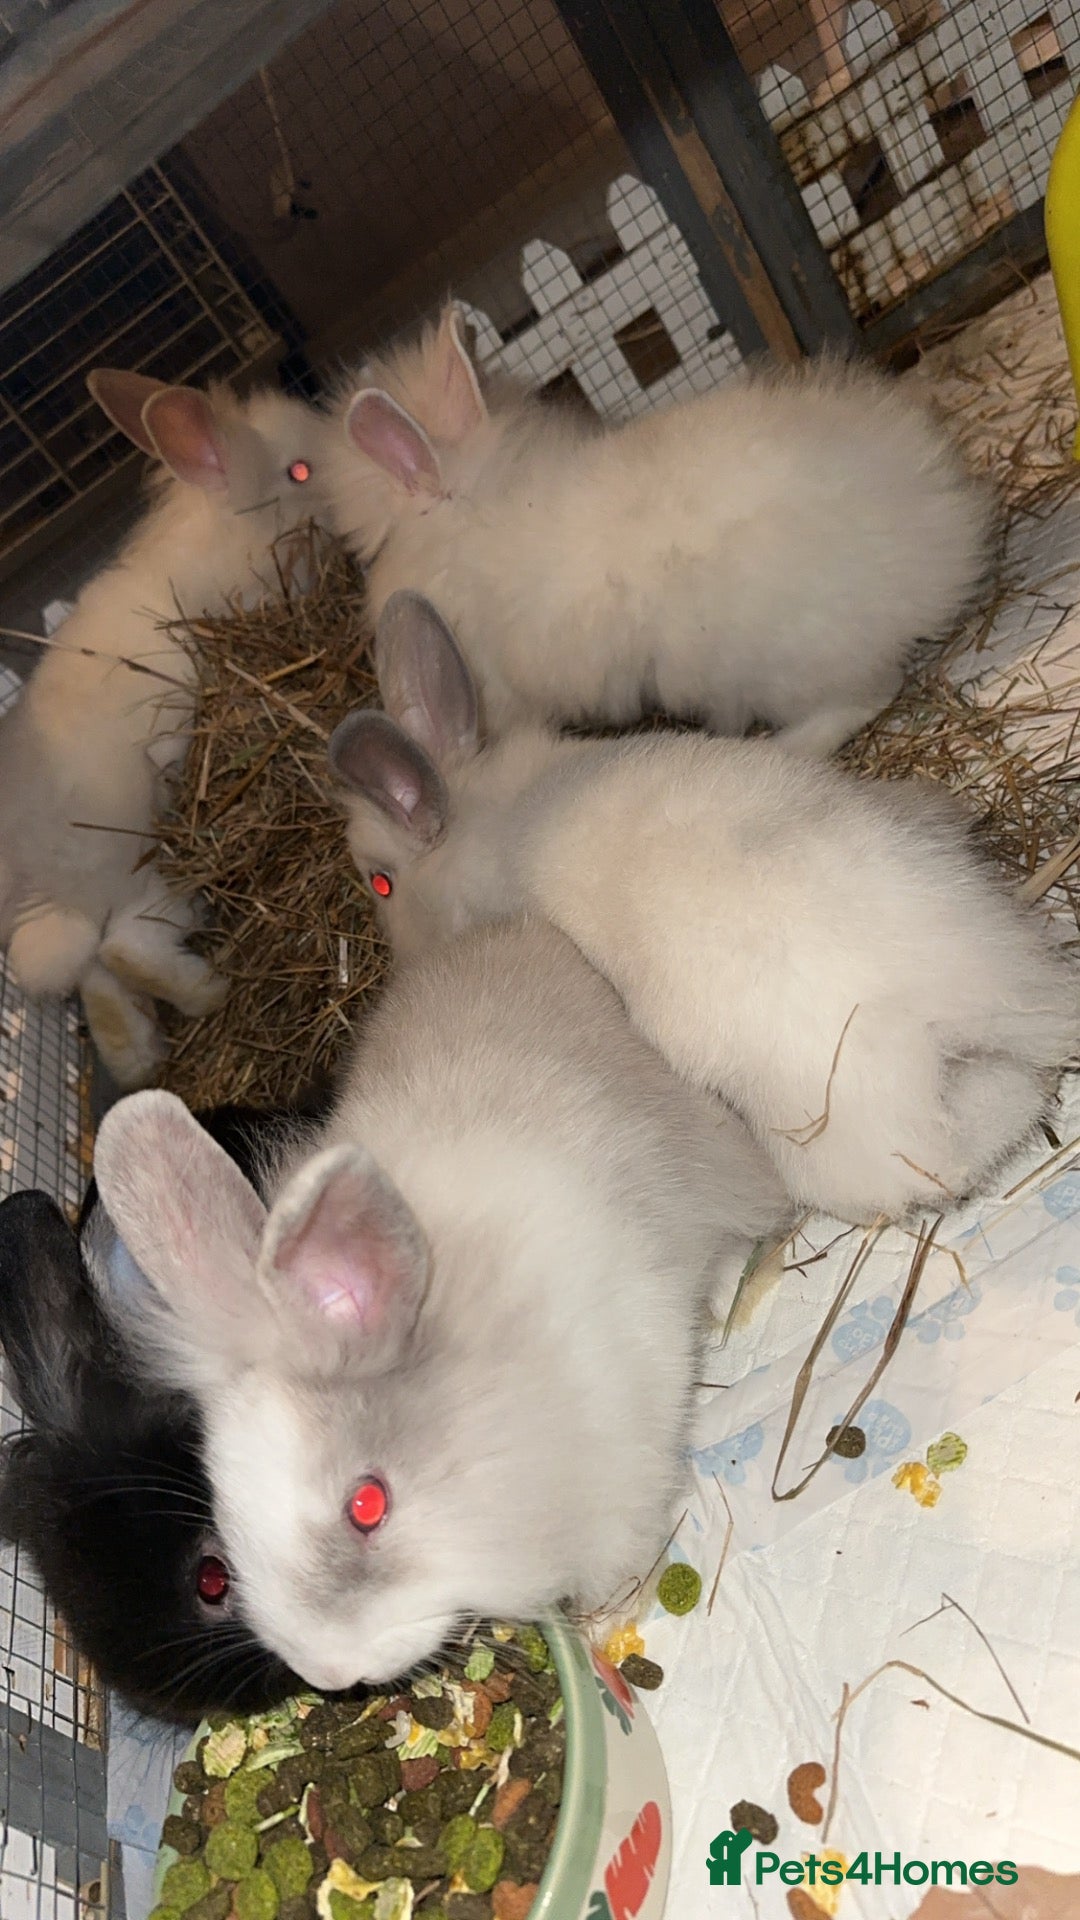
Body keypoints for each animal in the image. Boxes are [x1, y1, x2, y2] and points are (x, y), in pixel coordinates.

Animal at [0, 369, 338, 1091]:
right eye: (299, 470)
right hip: (154, 862)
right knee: (124, 948)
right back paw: (210, 993)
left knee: (92, 974)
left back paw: (140, 1054)